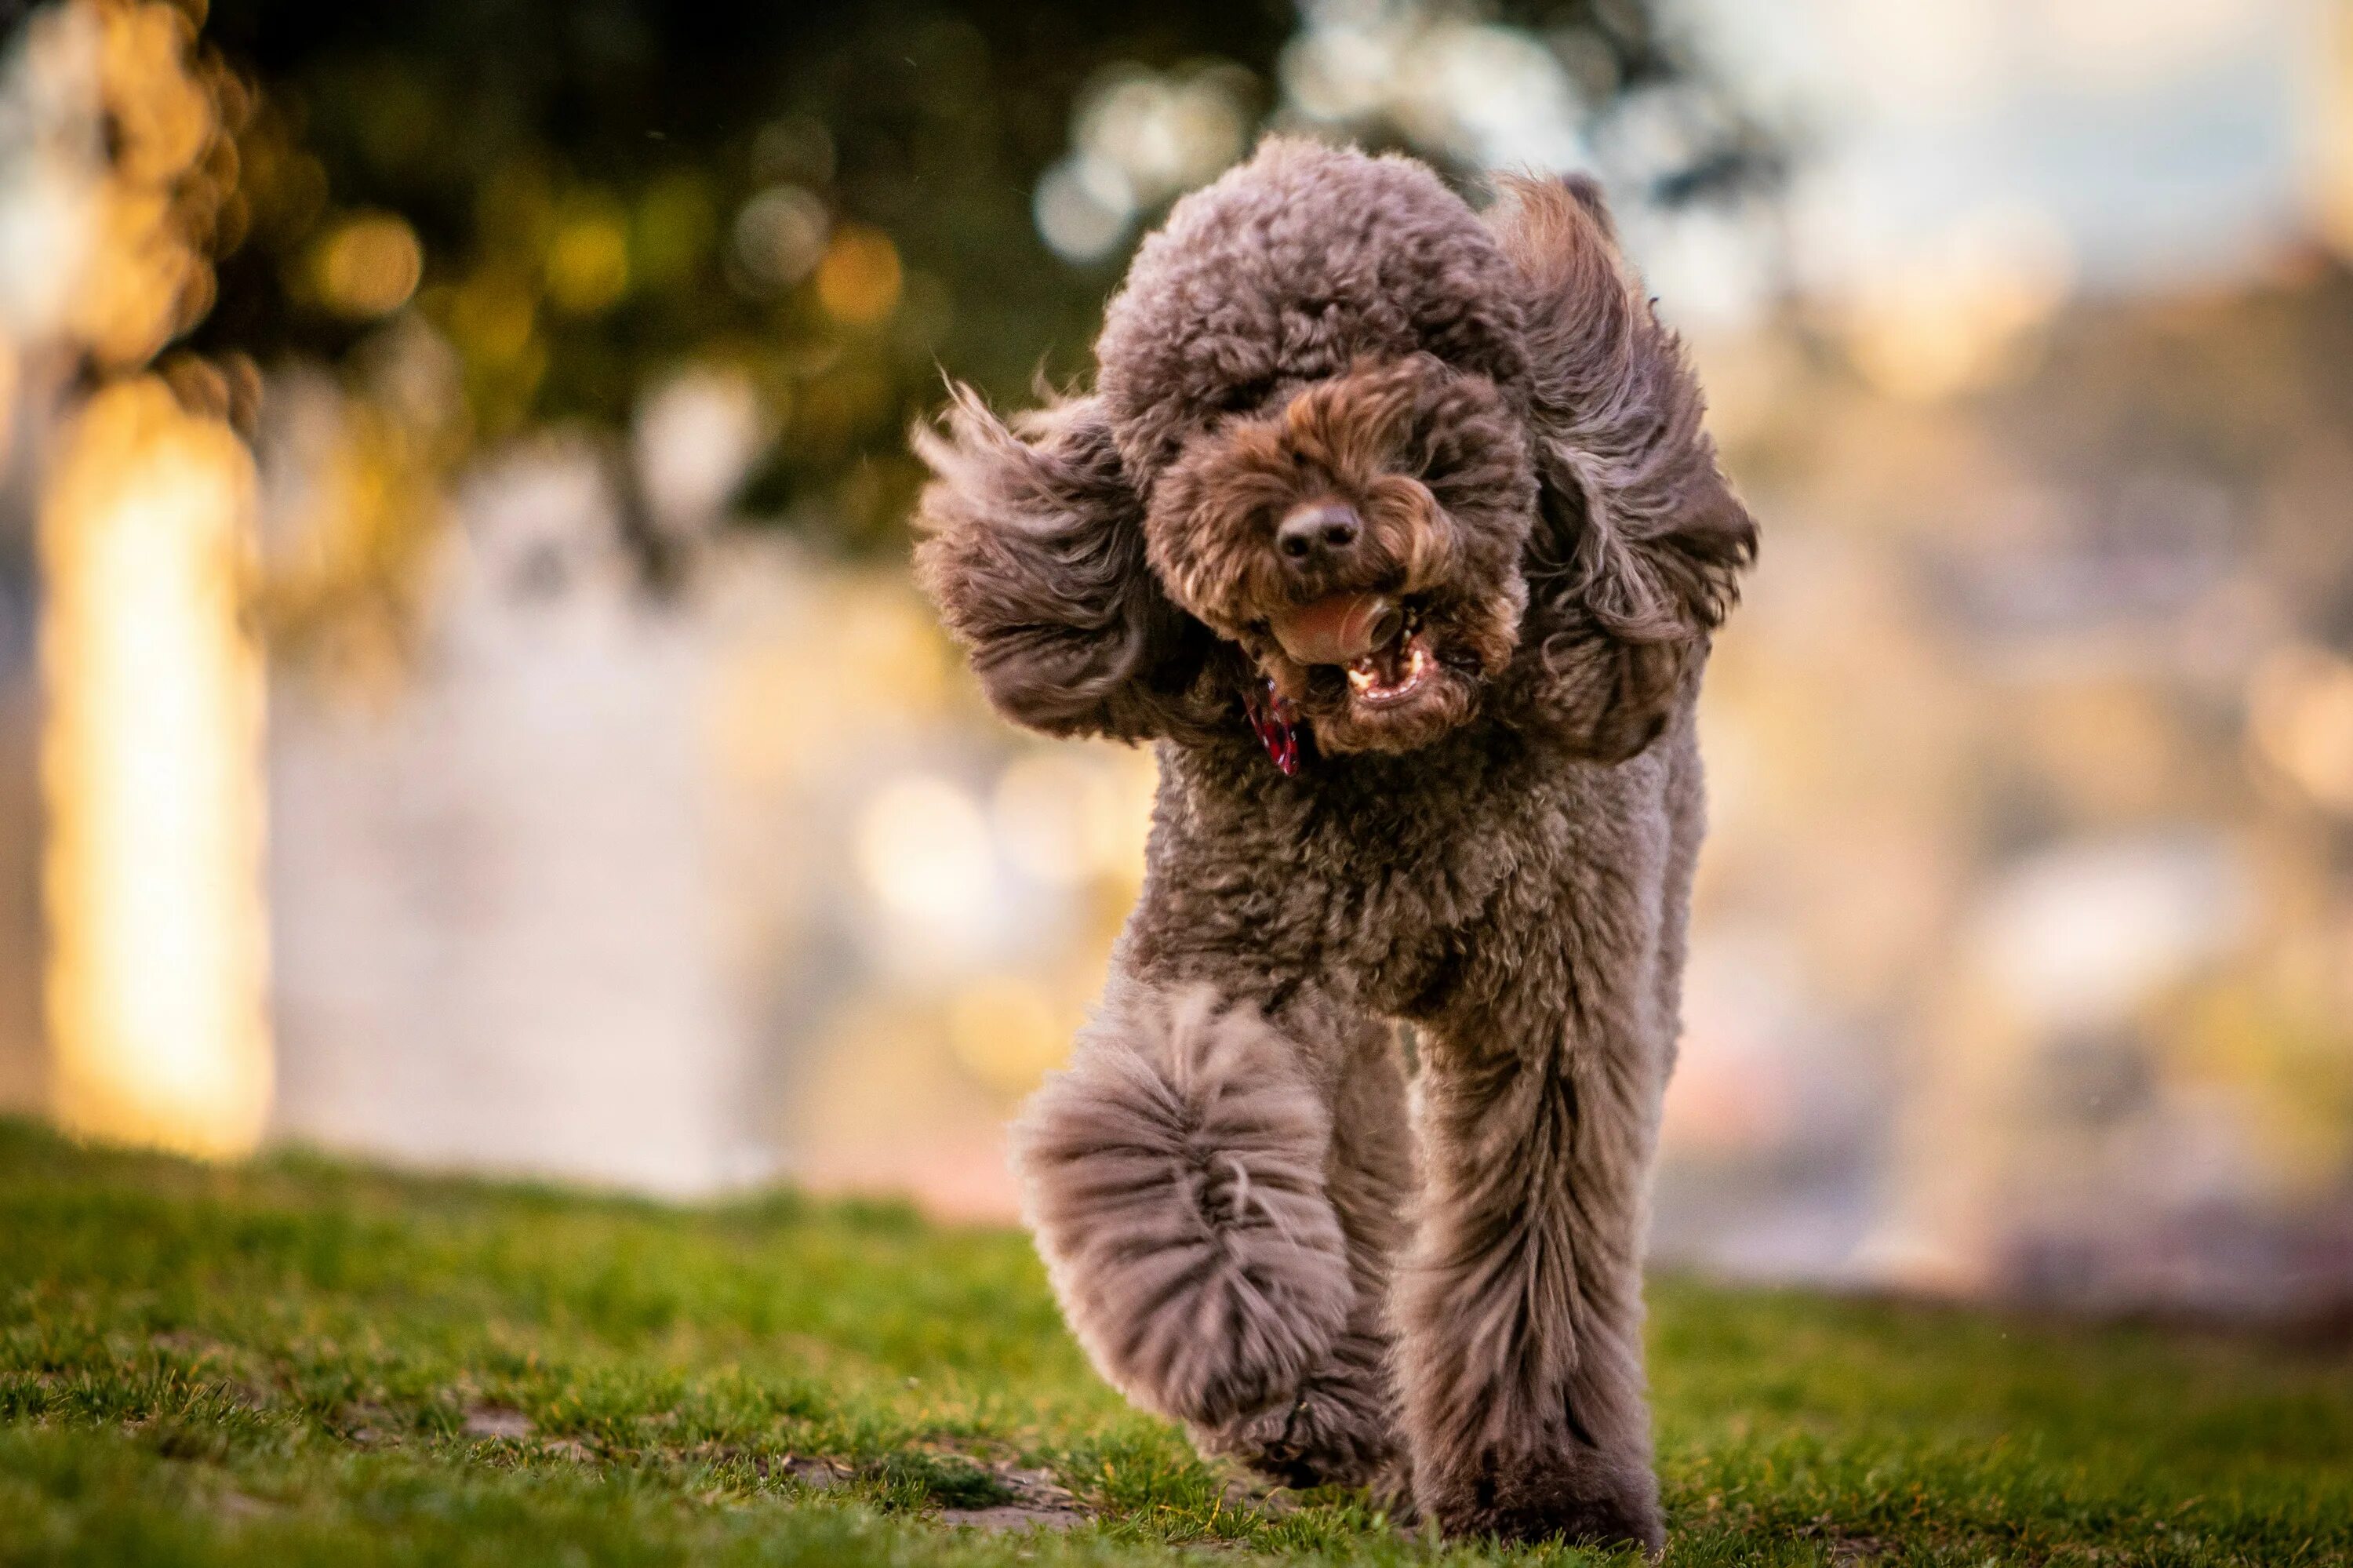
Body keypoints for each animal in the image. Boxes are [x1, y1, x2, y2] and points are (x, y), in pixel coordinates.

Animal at [908, 136, 1760, 1553]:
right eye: (1218, 409)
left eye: (1418, 356)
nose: (1314, 530)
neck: (1404, 763)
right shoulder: (1235, 958)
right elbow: (1182, 1126)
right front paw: (1262, 1364)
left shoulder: (1559, 1014)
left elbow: (1537, 1224)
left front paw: (1550, 1488)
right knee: (1347, 1165)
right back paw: (1342, 1419)